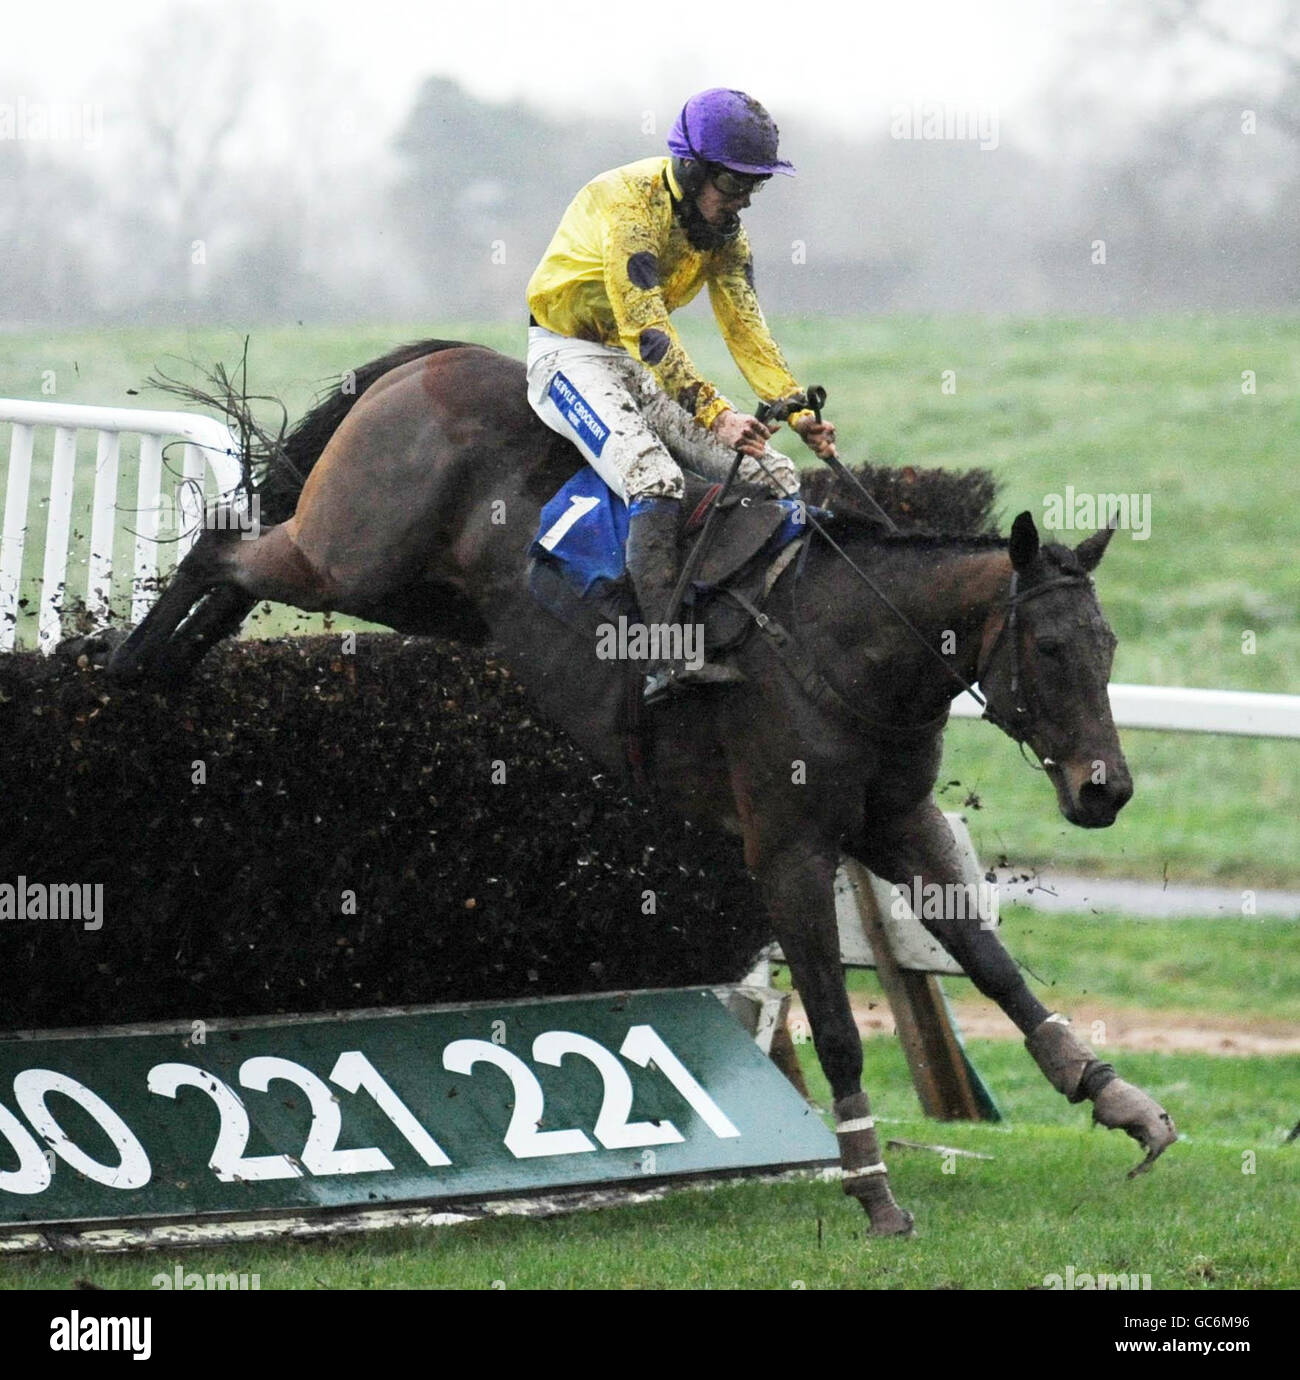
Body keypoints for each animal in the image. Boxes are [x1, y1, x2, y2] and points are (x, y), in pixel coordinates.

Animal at [89, 339, 1181, 1236]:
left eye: (1107, 647)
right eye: (1049, 648)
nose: (1106, 790)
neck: (844, 640)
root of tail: (427, 362)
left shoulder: (895, 820)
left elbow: (995, 967)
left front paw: (1120, 1102)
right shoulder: (788, 849)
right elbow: (836, 1028)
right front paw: (872, 1189)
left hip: (416, 596)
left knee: (236, 570)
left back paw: (158, 666)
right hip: (348, 557)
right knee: (222, 545)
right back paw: (122, 671)